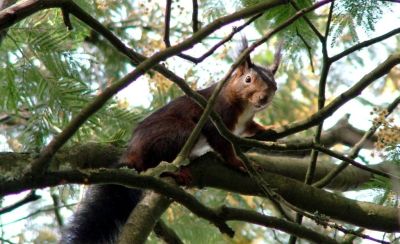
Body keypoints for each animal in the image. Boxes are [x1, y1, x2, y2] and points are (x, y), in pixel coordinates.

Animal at [61, 39, 282, 243]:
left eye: (274, 85)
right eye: (248, 79)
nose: (264, 98)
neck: (245, 108)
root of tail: (133, 150)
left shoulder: (243, 124)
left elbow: (250, 128)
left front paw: (268, 130)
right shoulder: (215, 117)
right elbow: (222, 144)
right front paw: (238, 163)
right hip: (178, 134)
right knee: (156, 162)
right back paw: (174, 172)